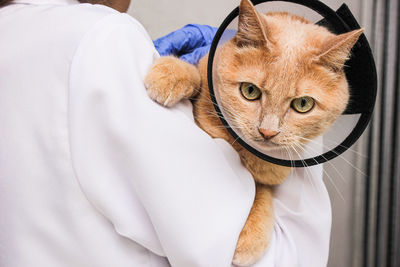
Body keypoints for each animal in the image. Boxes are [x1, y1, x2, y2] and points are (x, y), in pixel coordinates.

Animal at [145, 0, 362, 266]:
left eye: (303, 104)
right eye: (250, 91)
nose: (267, 131)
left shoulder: (272, 176)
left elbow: (261, 191)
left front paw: (251, 235)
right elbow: (196, 73)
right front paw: (171, 73)